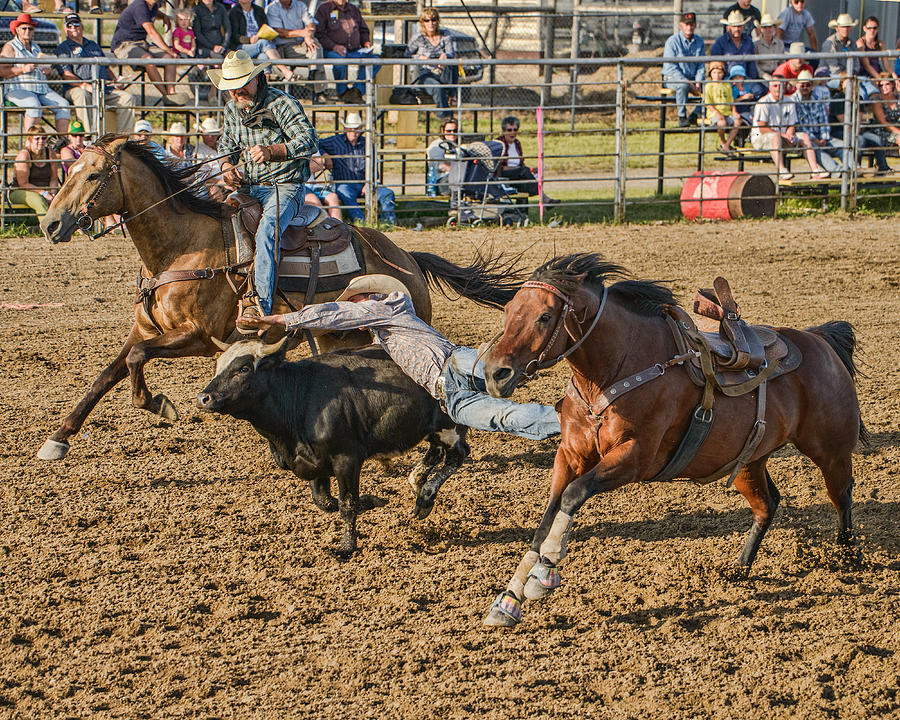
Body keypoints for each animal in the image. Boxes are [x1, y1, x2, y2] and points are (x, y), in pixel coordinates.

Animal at [38, 134, 524, 462]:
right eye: (67, 171)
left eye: (94, 175)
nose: (50, 224)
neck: (179, 247)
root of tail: (406, 256)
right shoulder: (145, 330)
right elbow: (107, 374)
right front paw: (58, 438)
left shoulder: (196, 336)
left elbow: (138, 360)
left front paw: (159, 404)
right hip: (338, 336)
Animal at [482, 256, 868, 628]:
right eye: (509, 308)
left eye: (545, 316)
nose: (494, 373)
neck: (618, 366)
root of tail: (818, 338)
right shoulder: (571, 455)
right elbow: (549, 514)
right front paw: (509, 600)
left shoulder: (634, 458)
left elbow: (573, 495)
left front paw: (545, 570)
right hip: (746, 462)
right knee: (767, 504)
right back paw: (739, 568)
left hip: (830, 450)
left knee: (842, 494)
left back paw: (848, 556)